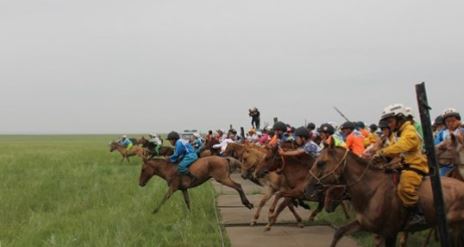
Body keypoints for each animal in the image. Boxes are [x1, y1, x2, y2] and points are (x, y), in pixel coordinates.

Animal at [304, 145, 464, 247]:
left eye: (320, 163)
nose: (307, 189)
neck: (373, 190)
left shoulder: (390, 233)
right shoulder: (364, 224)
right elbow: (339, 232)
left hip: (454, 228)